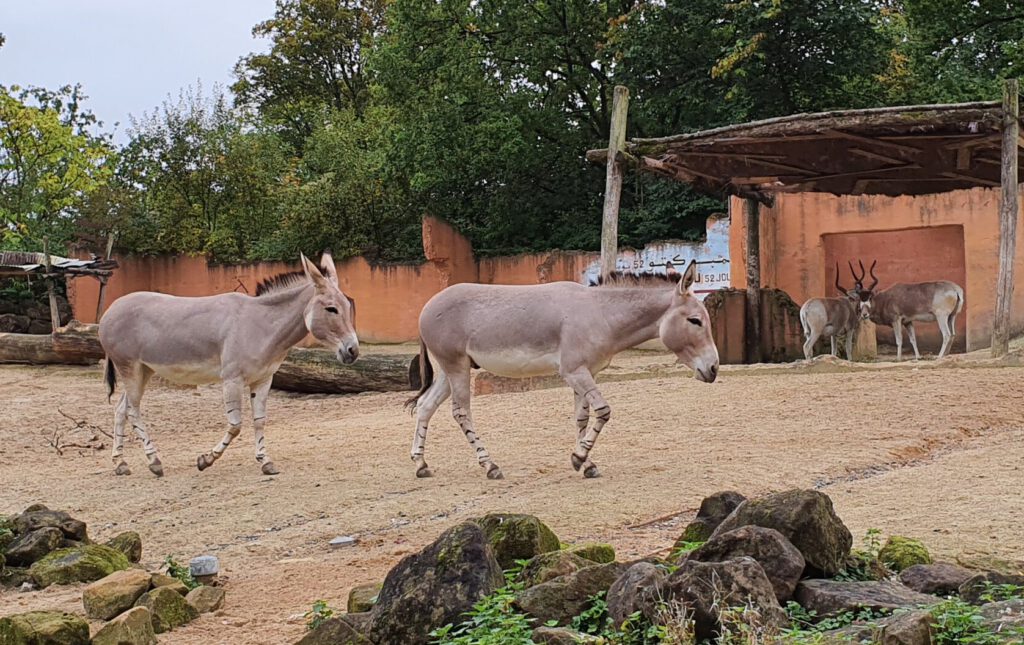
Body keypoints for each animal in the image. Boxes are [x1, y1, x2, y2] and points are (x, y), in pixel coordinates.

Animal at [98, 254, 356, 477]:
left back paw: (120, 463)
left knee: (121, 409)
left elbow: (260, 420)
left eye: (348, 305)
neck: (261, 324)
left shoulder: (263, 379)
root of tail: (111, 309)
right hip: (129, 367)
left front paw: (266, 461)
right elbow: (236, 425)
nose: (353, 350)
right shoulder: (232, 379)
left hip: (144, 370)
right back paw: (154, 461)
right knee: (133, 410)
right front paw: (206, 459)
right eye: (331, 308)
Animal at [403, 262, 716, 481]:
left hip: (450, 369)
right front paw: (579, 458)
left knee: (425, 405)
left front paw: (586, 463)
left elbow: (582, 417)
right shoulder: (574, 371)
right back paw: (490, 465)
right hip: (455, 365)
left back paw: (421, 464)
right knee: (461, 412)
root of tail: (425, 308)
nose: (713, 369)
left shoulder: (586, 372)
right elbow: (603, 410)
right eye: (695, 321)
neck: (600, 313)